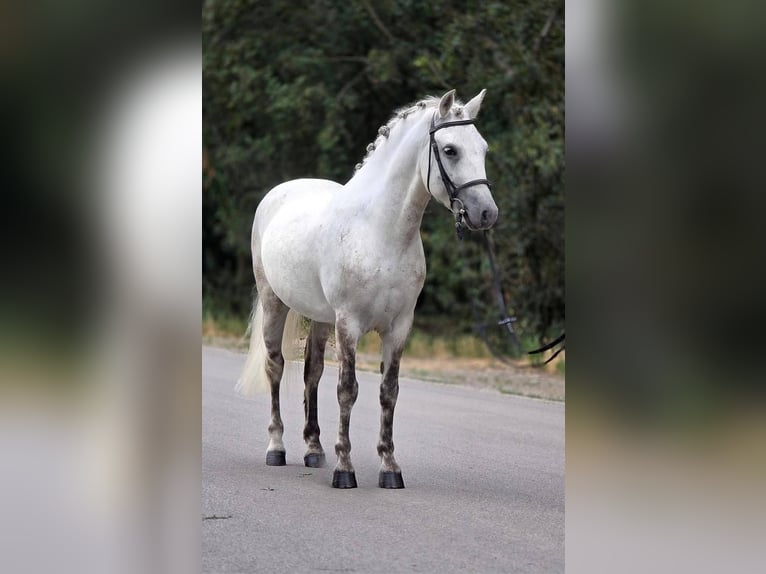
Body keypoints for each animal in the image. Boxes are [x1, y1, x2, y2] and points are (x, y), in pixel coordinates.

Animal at [237, 89, 498, 489]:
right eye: (451, 150)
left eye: (482, 148)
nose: (486, 214)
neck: (381, 232)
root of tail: (280, 192)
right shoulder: (349, 324)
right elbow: (348, 390)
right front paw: (345, 469)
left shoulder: (399, 328)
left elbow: (388, 392)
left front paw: (390, 468)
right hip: (274, 304)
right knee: (275, 367)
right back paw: (277, 448)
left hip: (320, 318)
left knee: (312, 372)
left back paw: (314, 450)